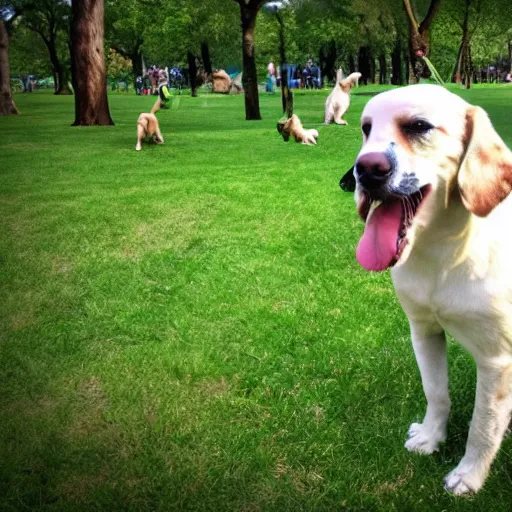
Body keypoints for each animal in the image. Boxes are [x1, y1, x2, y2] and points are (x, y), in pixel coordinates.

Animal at [340, 85, 512, 496]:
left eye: (419, 126)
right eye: (366, 129)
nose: (365, 170)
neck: (442, 254)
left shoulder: (497, 360)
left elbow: (483, 424)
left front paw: (469, 474)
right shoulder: (423, 330)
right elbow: (436, 392)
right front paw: (432, 438)